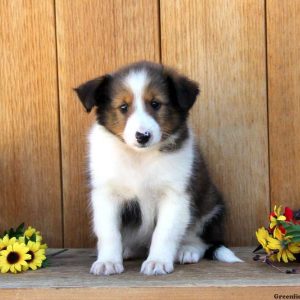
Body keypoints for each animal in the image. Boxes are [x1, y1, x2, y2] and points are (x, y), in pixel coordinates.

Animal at [74, 61, 241, 276]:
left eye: (155, 104)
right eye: (123, 107)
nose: (142, 136)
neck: (140, 157)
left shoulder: (175, 195)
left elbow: (164, 233)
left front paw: (157, 262)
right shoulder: (106, 194)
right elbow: (109, 232)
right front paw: (108, 262)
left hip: (209, 205)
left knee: (200, 238)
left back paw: (187, 250)